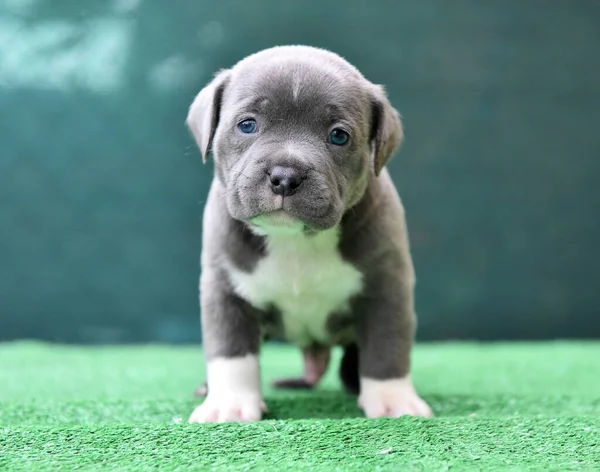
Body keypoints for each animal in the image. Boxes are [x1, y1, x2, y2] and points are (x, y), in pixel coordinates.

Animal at [186, 44, 432, 422]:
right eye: (247, 125)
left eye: (339, 136)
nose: (285, 176)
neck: (295, 239)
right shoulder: (224, 289)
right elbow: (231, 350)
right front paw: (229, 402)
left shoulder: (387, 287)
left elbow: (387, 345)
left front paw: (393, 399)